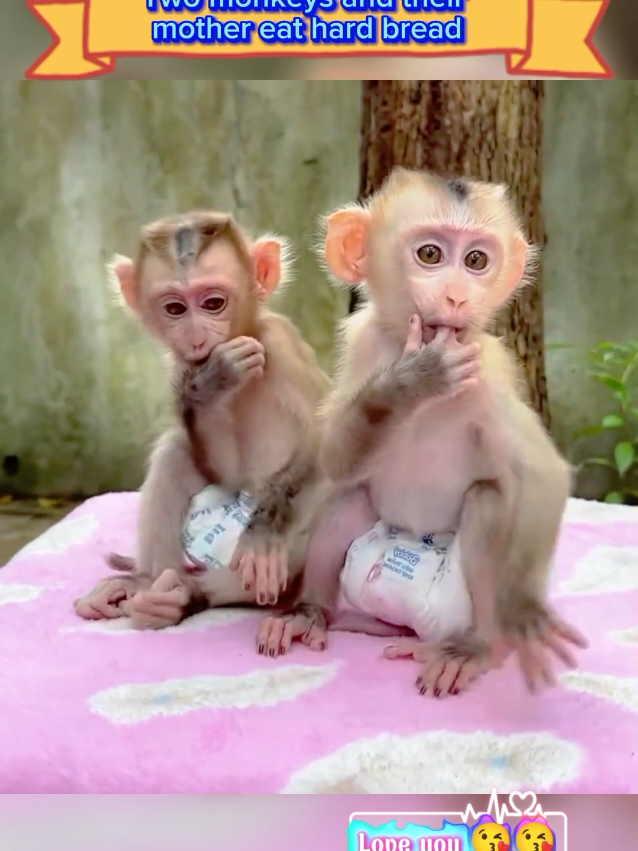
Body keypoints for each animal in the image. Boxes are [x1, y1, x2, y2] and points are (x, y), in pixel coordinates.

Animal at [73, 210, 330, 628]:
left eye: (213, 303)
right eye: (175, 309)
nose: (196, 337)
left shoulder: (281, 344)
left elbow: (324, 439)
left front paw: (264, 535)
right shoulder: (179, 366)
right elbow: (220, 465)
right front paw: (212, 383)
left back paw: (190, 594)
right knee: (175, 452)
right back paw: (152, 586)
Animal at [257, 168, 588, 697]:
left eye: (476, 260)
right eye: (430, 254)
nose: (456, 296)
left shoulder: (486, 374)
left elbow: (542, 475)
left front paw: (526, 613)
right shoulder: (364, 343)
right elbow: (333, 457)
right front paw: (408, 382)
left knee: (488, 503)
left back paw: (475, 647)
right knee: (348, 499)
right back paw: (310, 613)